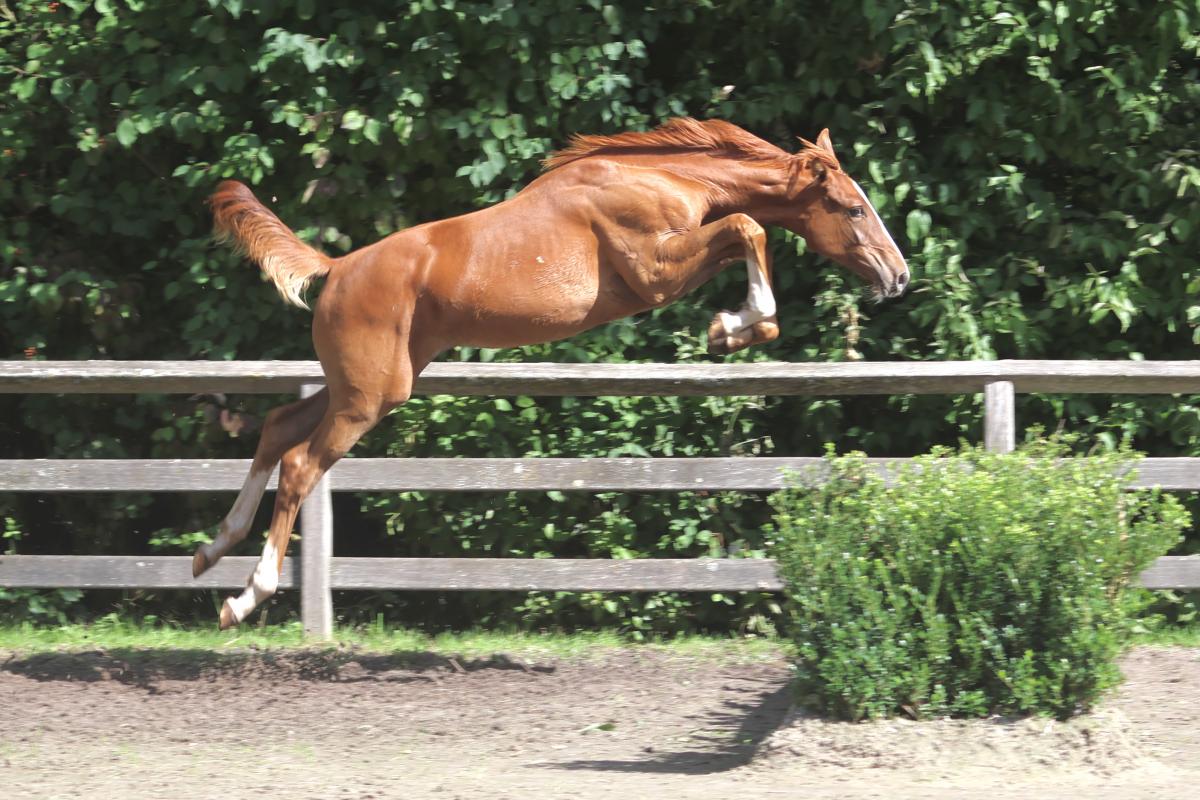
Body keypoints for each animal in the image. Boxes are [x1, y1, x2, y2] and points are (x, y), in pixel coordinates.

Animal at [194, 117, 909, 629]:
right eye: (851, 208)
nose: (899, 276)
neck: (664, 179)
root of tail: (337, 267)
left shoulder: (670, 271)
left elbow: (744, 236)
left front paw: (731, 329)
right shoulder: (655, 272)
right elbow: (746, 226)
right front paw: (734, 324)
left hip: (369, 388)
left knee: (277, 426)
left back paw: (210, 549)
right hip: (366, 399)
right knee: (298, 466)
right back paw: (243, 598)